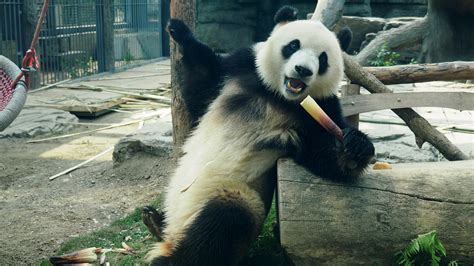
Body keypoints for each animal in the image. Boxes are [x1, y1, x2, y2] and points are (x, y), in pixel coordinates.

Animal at [146, 6, 376, 266]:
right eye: (293, 45)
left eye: (323, 59)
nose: (303, 70)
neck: (278, 95)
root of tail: (175, 234)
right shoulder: (241, 68)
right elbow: (203, 84)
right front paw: (179, 32)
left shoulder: (319, 110)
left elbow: (323, 156)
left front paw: (356, 146)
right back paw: (154, 219)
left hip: (235, 194)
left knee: (225, 220)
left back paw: (167, 257)